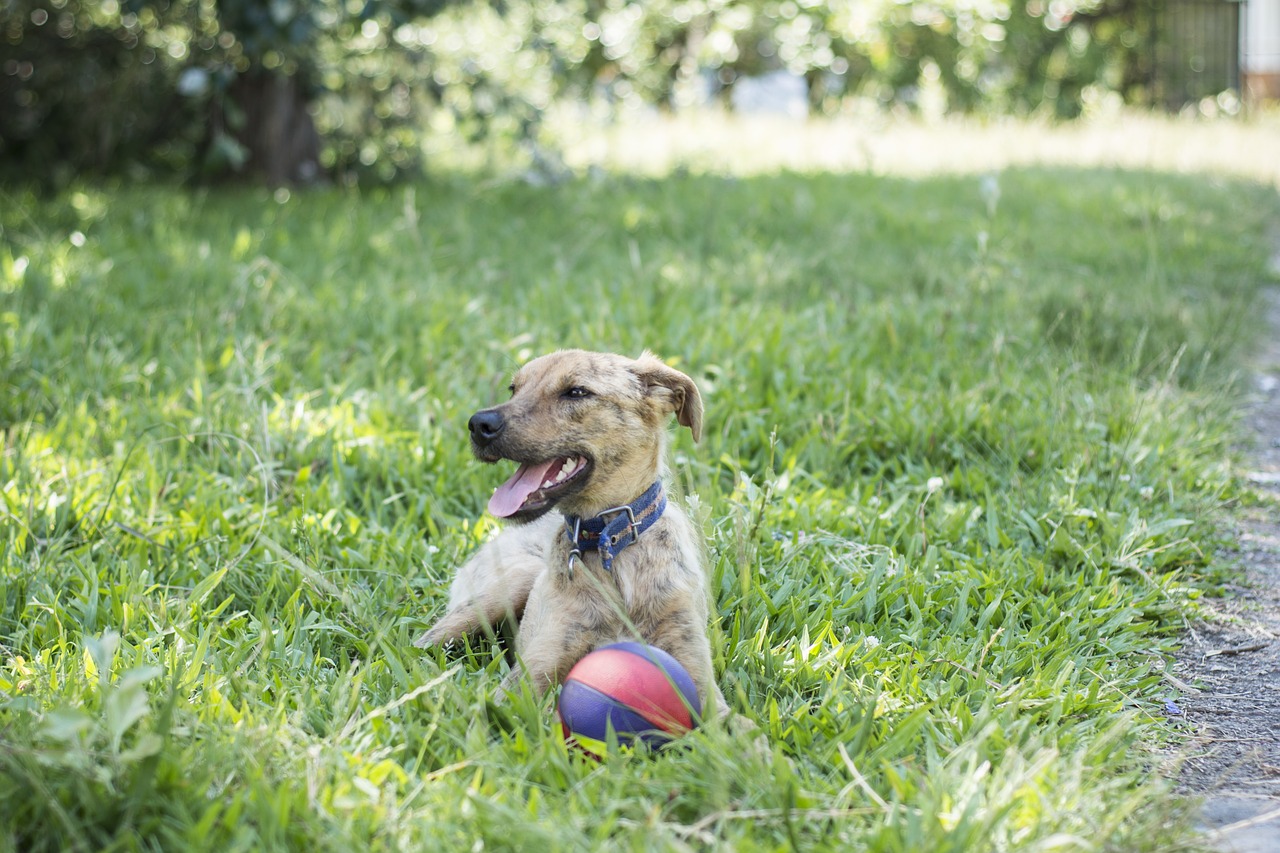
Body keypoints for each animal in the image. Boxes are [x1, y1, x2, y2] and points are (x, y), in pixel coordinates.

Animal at [414, 348, 727, 712]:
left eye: (576, 392)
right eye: (514, 389)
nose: (479, 424)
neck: (610, 544)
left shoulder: (699, 679)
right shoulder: (528, 678)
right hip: (507, 586)